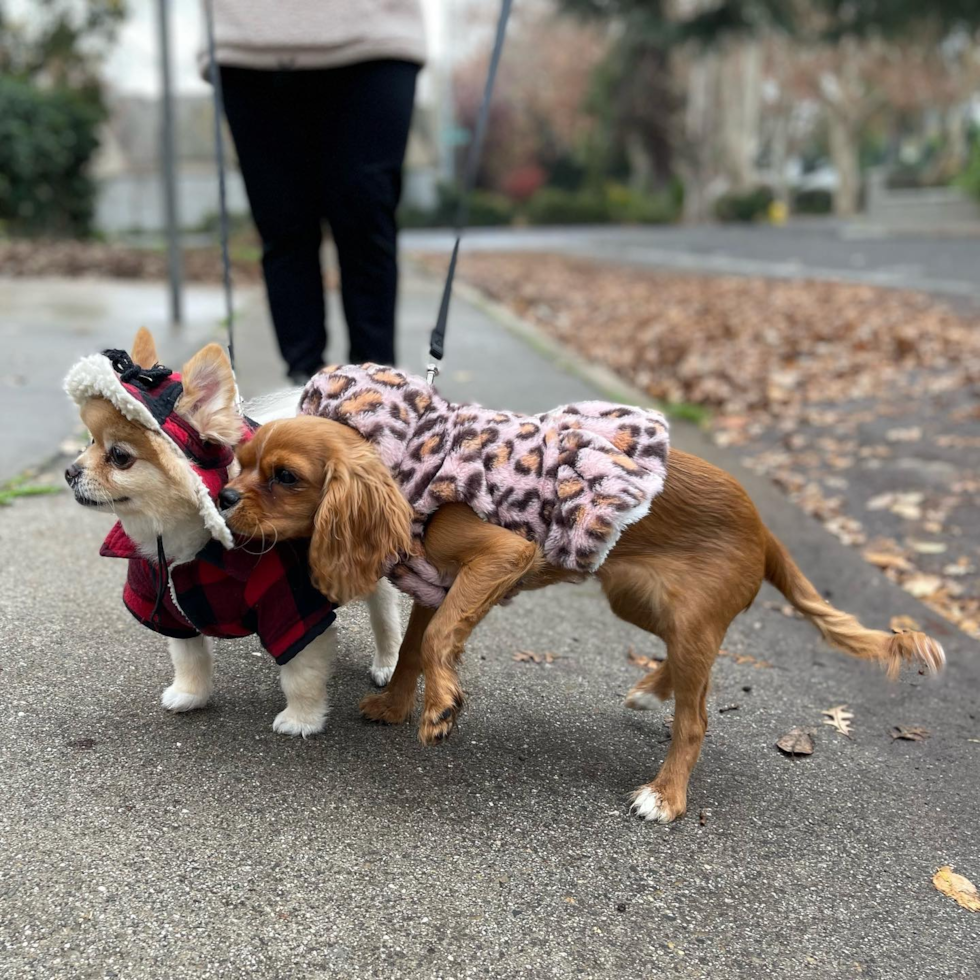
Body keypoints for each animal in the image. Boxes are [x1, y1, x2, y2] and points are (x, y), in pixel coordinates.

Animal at [220, 394, 940, 824]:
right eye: (240, 462)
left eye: (285, 477)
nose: (224, 496)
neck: (407, 469)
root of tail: (764, 527)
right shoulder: (436, 582)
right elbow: (415, 652)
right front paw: (400, 707)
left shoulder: (499, 556)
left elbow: (440, 639)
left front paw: (441, 708)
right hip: (637, 601)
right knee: (677, 669)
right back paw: (651, 691)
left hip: (691, 625)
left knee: (696, 719)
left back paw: (666, 795)